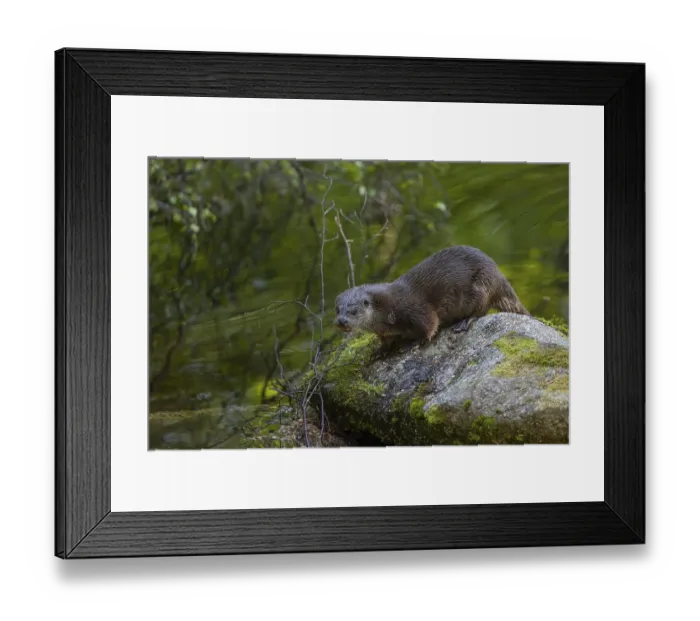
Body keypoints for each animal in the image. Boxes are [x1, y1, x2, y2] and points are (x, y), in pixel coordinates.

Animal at [333, 245, 530, 349]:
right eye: (337, 310)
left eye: (353, 311)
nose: (341, 321)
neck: (386, 310)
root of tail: (498, 274)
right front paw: (381, 349)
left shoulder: (415, 309)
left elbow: (430, 323)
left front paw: (418, 341)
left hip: (482, 285)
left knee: (481, 310)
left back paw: (464, 322)